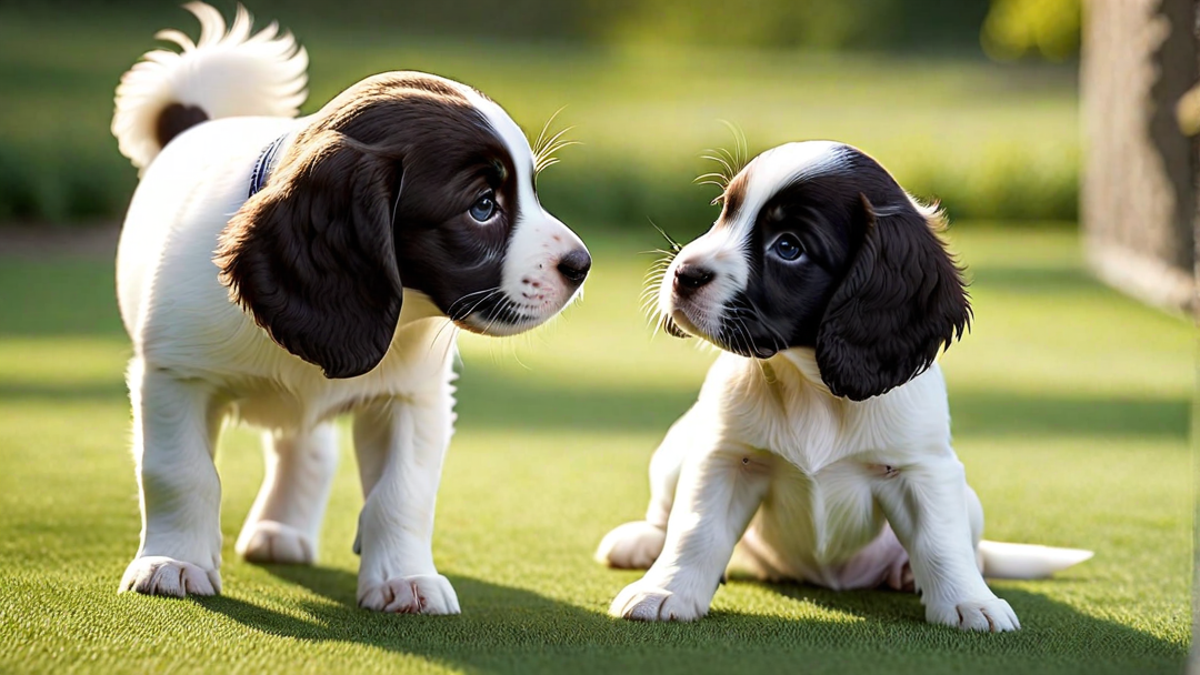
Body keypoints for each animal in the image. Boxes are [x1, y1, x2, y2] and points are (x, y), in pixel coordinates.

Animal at [110, 2, 588, 610]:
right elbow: (180, 472)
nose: (581, 265)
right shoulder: (176, 377)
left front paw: (405, 579)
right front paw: (173, 562)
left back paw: (282, 531)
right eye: (483, 206)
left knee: (309, 449)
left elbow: (402, 493)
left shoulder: (414, 398)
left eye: (531, 191)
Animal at [595, 139, 1094, 629]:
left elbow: (941, 541)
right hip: (679, 444)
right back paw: (642, 541)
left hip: (966, 498)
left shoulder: (924, 469)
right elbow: (696, 529)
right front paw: (665, 591)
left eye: (789, 247)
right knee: (665, 514)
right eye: (725, 213)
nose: (683, 274)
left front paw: (970, 602)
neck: (812, 385)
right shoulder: (726, 457)